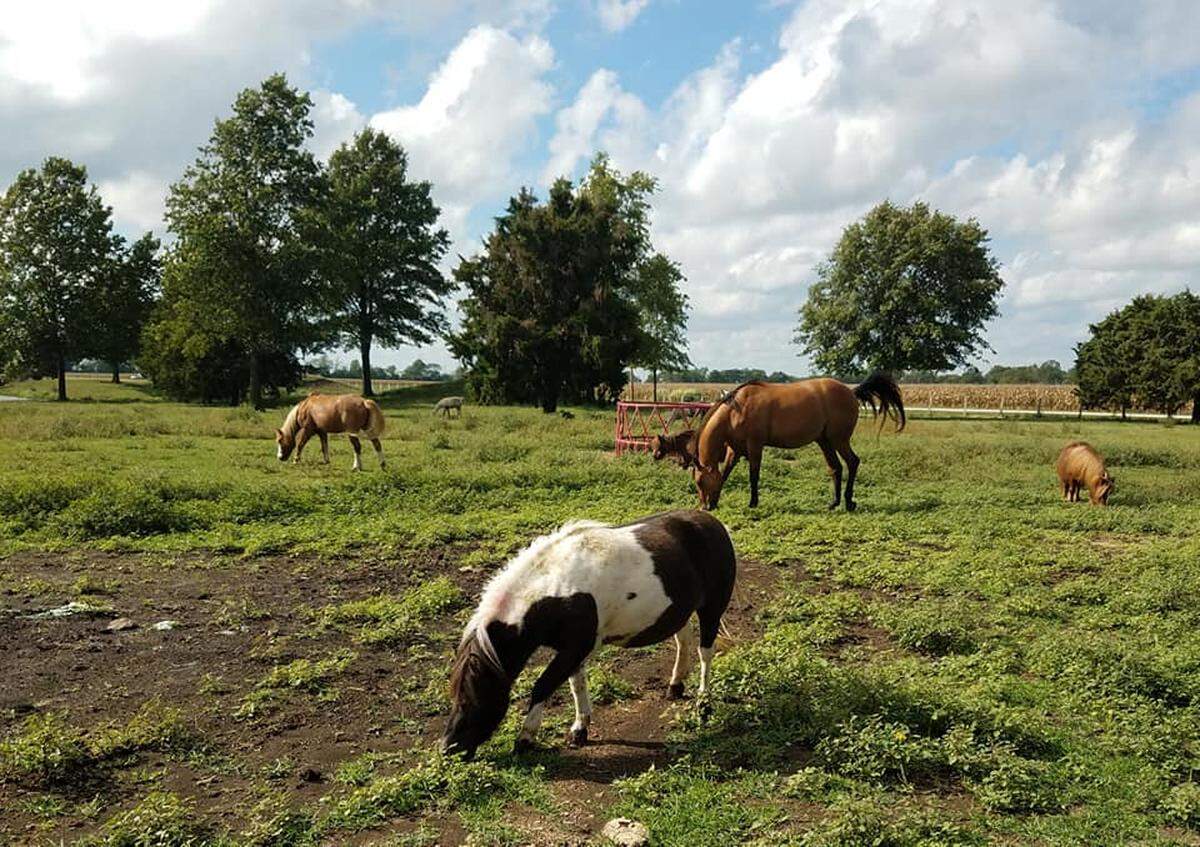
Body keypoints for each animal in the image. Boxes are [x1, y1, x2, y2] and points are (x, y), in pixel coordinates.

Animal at [442, 509, 736, 759]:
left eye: (472, 697)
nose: (448, 749)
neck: (557, 589)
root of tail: (711, 521)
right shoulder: (572, 649)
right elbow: (576, 684)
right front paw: (579, 729)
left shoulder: (576, 647)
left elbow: (544, 686)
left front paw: (525, 738)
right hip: (678, 610)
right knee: (683, 640)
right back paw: (675, 686)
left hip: (712, 609)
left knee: (705, 652)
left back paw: (703, 704)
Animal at [691, 374, 905, 511]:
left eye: (700, 482)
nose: (704, 507)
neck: (737, 409)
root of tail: (851, 392)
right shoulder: (735, 450)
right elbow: (725, 473)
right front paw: (717, 501)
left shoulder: (755, 446)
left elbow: (754, 475)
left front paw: (753, 502)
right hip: (824, 441)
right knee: (835, 467)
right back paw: (834, 503)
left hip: (839, 440)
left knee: (852, 462)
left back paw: (849, 502)